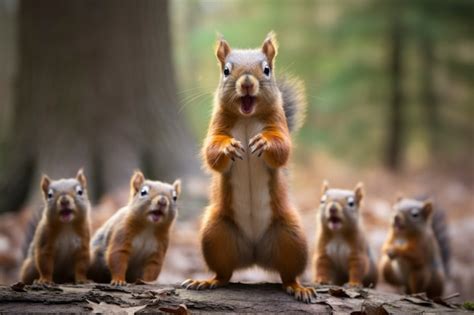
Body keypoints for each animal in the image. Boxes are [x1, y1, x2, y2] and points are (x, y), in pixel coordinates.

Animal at [181, 32, 314, 304]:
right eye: (226, 70)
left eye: (266, 69)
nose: (247, 83)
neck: (247, 116)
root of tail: (254, 254)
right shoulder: (217, 126)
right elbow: (211, 152)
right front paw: (227, 148)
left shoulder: (278, 124)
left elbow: (283, 150)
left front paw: (264, 142)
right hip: (215, 234)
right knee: (224, 273)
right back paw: (207, 281)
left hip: (292, 236)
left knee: (288, 273)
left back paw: (297, 287)